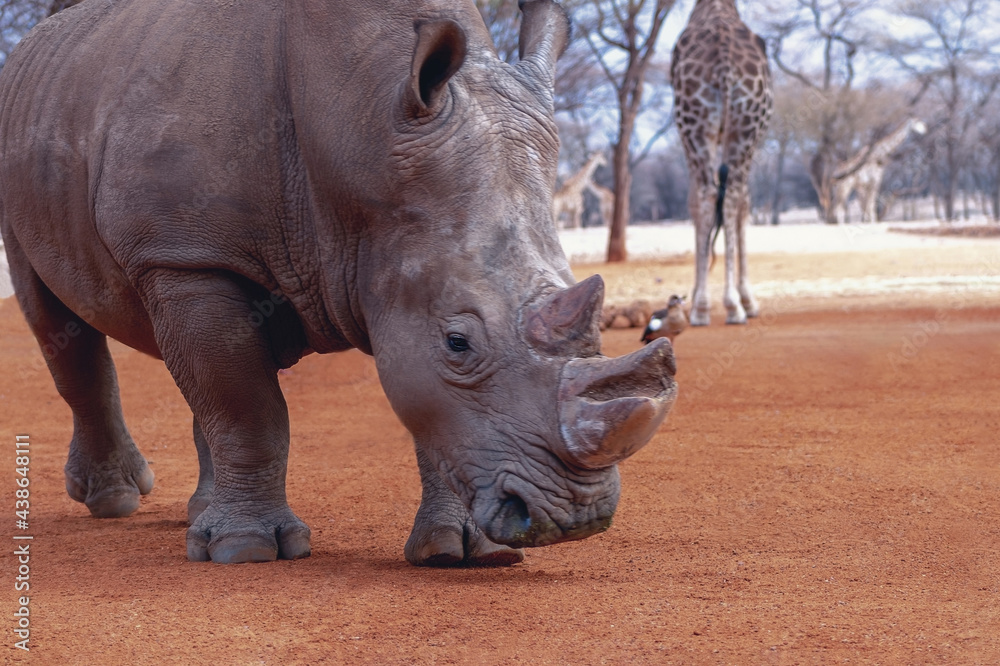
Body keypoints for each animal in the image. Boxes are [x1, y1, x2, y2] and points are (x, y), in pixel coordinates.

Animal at [0, 0, 677, 565]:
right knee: (59, 325)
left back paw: (197, 517)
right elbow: (246, 405)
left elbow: (423, 407)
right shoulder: (183, 255)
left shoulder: (395, 250)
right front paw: (246, 552)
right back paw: (118, 503)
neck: (362, 124)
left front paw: (460, 553)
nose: (577, 518)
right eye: (458, 343)